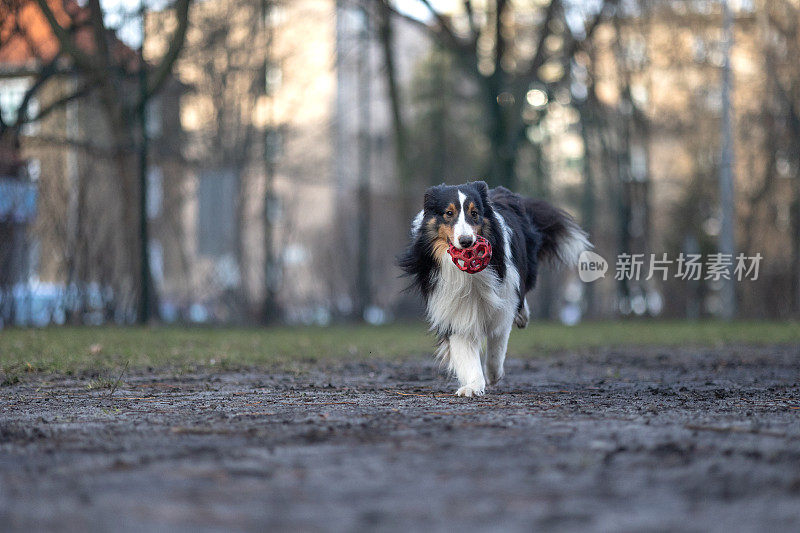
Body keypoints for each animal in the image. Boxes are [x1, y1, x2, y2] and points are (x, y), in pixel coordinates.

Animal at [398, 182, 592, 394]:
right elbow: (465, 350)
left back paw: (523, 317)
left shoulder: (504, 301)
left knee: (522, 295)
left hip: (525, 270)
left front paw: (492, 375)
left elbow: (497, 343)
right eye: (449, 213)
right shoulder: (453, 308)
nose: (467, 242)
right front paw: (473, 386)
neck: (467, 274)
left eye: (474, 213)